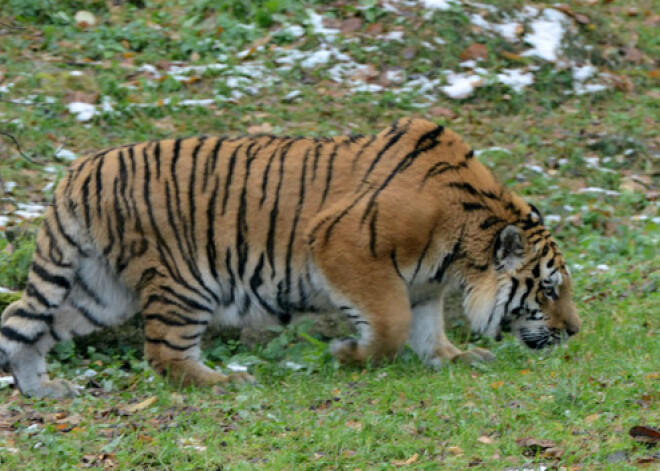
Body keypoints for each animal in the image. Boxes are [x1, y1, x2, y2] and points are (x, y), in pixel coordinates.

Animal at [0, 118, 576, 398]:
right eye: (548, 288)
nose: (573, 331)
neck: (462, 246)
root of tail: (79, 170)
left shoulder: (424, 284)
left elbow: (427, 327)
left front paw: (454, 358)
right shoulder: (344, 243)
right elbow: (390, 324)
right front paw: (349, 355)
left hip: (100, 292)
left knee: (25, 321)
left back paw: (44, 389)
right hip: (184, 281)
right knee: (163, 354)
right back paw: (223, 383)